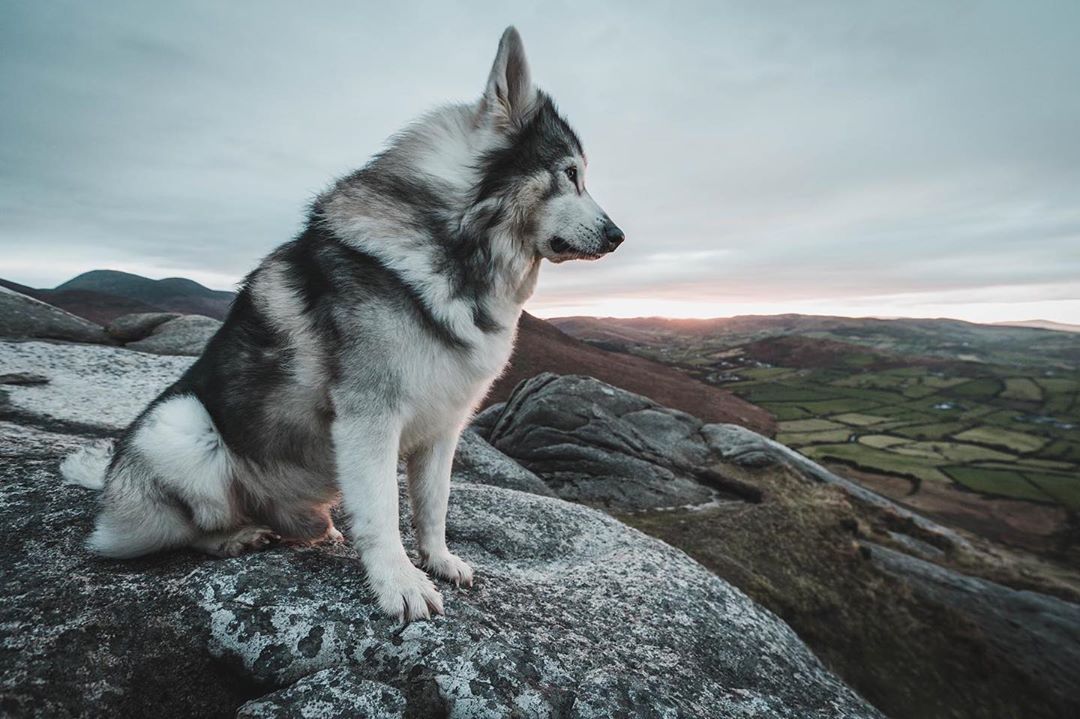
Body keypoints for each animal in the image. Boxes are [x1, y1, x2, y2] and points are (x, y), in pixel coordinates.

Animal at [61, 28, 626, 617]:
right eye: (571, 174)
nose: (618, 236)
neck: (459, 246)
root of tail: (107, 483)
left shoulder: (444, 427)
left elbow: (434, 505)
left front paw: (439, 560)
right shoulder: (369, 417)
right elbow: (381, 511)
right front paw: (399, 582)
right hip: (181, 427)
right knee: (177, 532)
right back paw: (235, 536)